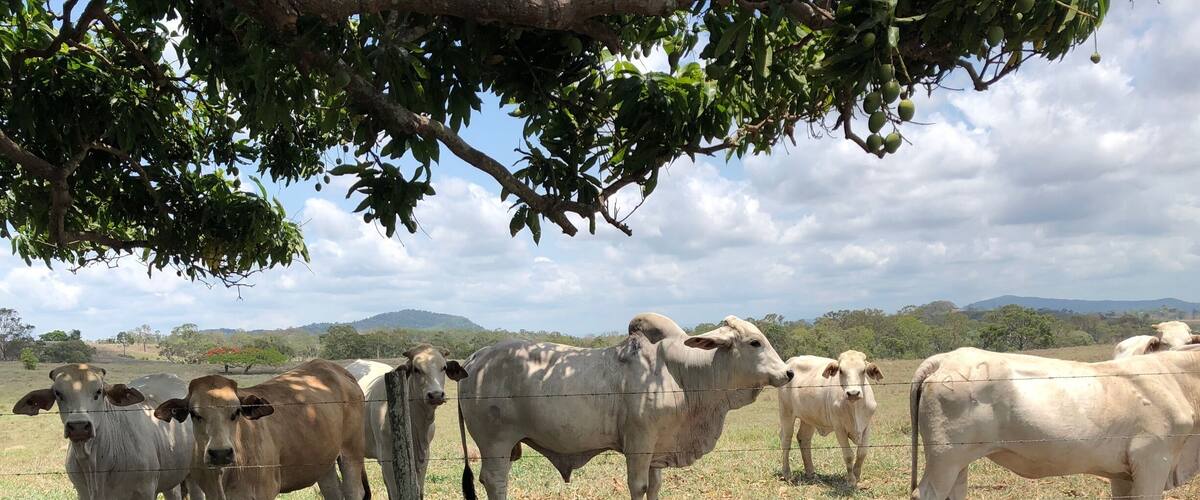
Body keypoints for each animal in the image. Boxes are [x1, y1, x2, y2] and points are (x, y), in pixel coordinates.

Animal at [153, 359, 368, 499]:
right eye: (195, 414)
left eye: (236, 412)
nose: (220, 453)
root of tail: (335, 368)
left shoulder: (263, 491)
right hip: (324, 462)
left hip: (352, 453)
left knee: (354, 491)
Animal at [344, 344, 453, 498]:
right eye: (416, 369)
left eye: (444, 367)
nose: (436, 395)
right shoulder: (387, 458)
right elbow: (395, 492)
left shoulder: (424, 456)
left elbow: (419, 490)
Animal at [450, 313, 794, 500]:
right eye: (754, 342)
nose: (788, 373)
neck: (681, 373)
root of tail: (475, 358)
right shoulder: (639, 444)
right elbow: (638, 486)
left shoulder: (658, 448)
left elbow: (655, 486)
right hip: (496, 443)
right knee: (495, 480)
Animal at [778, 350, 882, 488]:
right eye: (841, 371)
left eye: (863, 370)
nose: (853, 393)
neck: (854, 408)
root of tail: (790, 361)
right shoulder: (839, 428)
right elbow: (848, 455)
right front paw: (851, 480)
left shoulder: (867, 426)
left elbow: (862, 453)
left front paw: (857, 476)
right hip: (786, 413)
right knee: (786, 440)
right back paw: (787, 474)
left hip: (809, 418)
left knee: (804, 439)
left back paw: (811, 473)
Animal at [909, 346, 1200, 500]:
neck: (1179, 381)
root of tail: (946, 358)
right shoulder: (1153, 459)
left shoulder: (1123, 473)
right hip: (945, 458)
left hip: (958, 463)